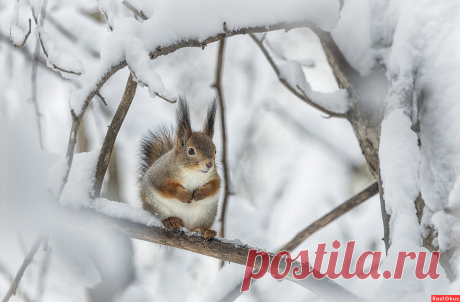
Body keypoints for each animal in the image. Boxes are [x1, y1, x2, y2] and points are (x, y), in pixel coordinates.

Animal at [138, 98, 221, 239]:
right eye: (191, 151)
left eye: (215, 151)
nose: (209, 164)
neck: (192, 172)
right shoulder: (160, 175)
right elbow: (167, 187)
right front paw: (184, 195)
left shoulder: (213, 175)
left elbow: (214, 185)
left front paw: (200, 193)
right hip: (155, 205)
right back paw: (171, 220)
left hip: (208, 214)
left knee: (198, 227)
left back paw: (205, 230)